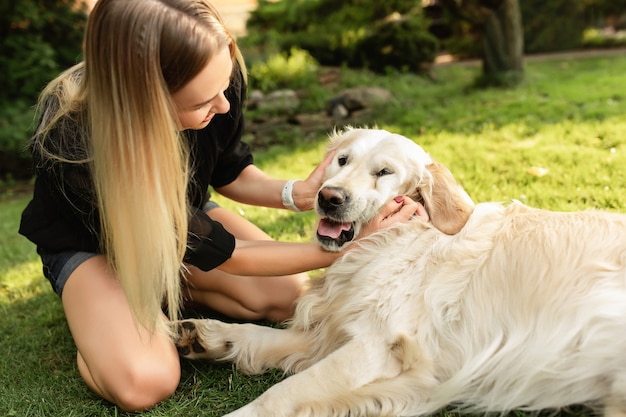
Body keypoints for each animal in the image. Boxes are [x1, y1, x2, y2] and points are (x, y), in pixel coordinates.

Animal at [173, 127, 624, 416]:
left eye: (384, 172)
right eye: (342, 160)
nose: (329, 197)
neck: (390, 241)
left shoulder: (377, 347)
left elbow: (280, 395)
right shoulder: (331, 333)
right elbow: (259, 336)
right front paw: (205, 335)